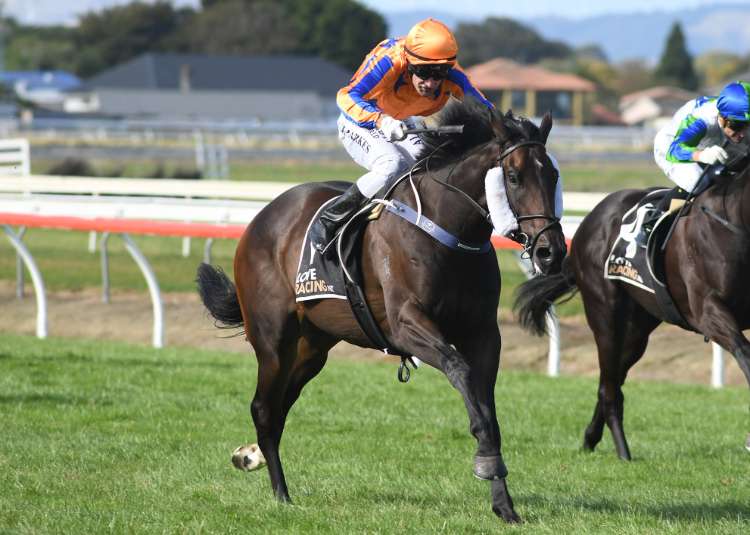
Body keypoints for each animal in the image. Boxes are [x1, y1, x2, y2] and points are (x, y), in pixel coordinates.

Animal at [197, 99, 566, 523]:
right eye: (514, 176)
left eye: (553, 174)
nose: (550, 251)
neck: (448, 229)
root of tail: (260, 218)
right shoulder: (407, 325)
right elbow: (461, 372)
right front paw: (486, 463)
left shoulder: (485, 334)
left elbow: (487, 407)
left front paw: (504, 503)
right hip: (273, 340)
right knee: (263, 408)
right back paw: (280, 492)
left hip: (313, 347)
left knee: (279, 407)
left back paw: (252, 457)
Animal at [514, 148, 750, 461]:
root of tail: (590, 220)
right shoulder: (709, 312)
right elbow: (746, 355)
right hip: (605, 315)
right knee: (609, 385)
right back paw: (622, 451)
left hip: (638, 326)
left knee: (612, 378)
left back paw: (590, 438)